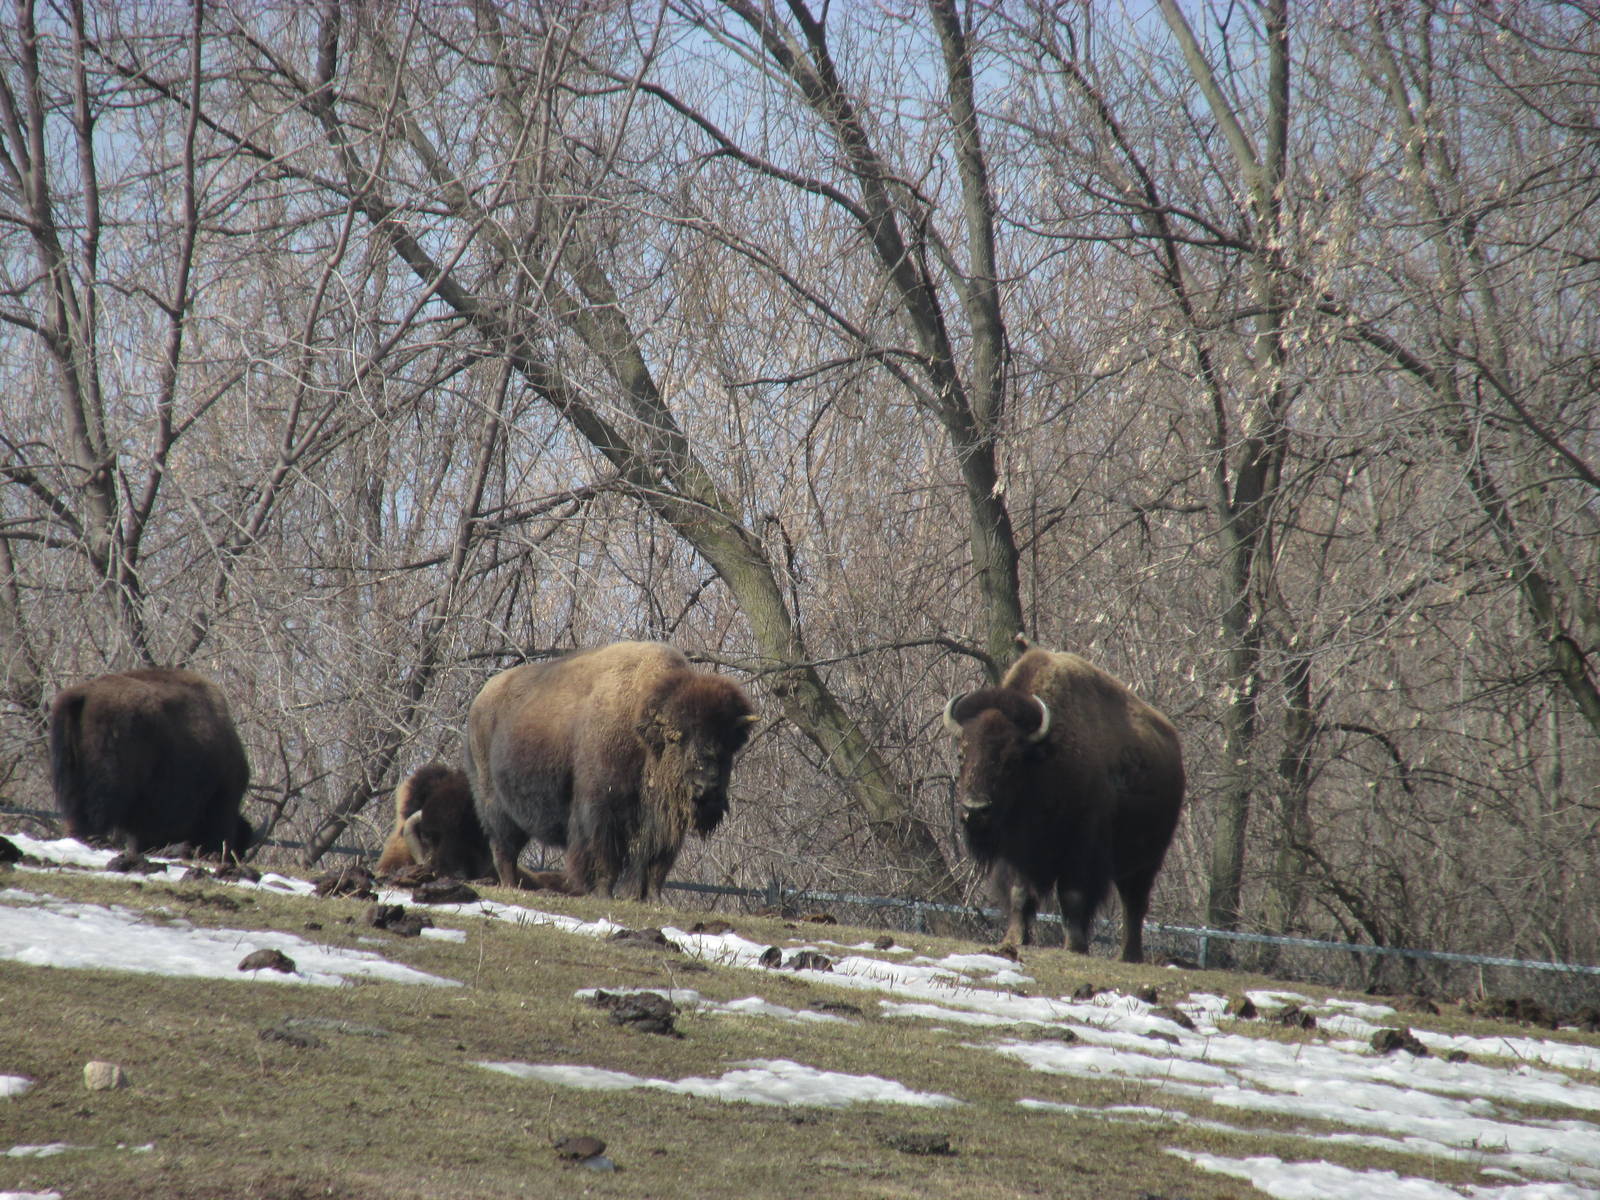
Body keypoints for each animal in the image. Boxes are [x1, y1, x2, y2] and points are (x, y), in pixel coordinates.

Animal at [465, 641, 757, 898]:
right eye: (676, 737)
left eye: (728, 743)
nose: (706, 787)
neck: (641, 731)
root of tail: (479, 701)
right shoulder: (601, 812)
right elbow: (606, 858)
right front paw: (604, 894)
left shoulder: (664, 823)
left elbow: (656, 864)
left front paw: (651, 899)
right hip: (496, 805)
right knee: (504, 847)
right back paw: (511, 885)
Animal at [943, 647, 1184, 962]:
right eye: (961, 754)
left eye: (1011, 760)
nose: (975, 810)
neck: (1042, 758)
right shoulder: (1017, 851)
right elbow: (1020, 892)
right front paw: (1015, 939)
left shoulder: (1082, 847)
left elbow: (1073, 896)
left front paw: (1075, 946)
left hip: (1147, 860)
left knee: (1134, 904)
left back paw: (1128, 956)